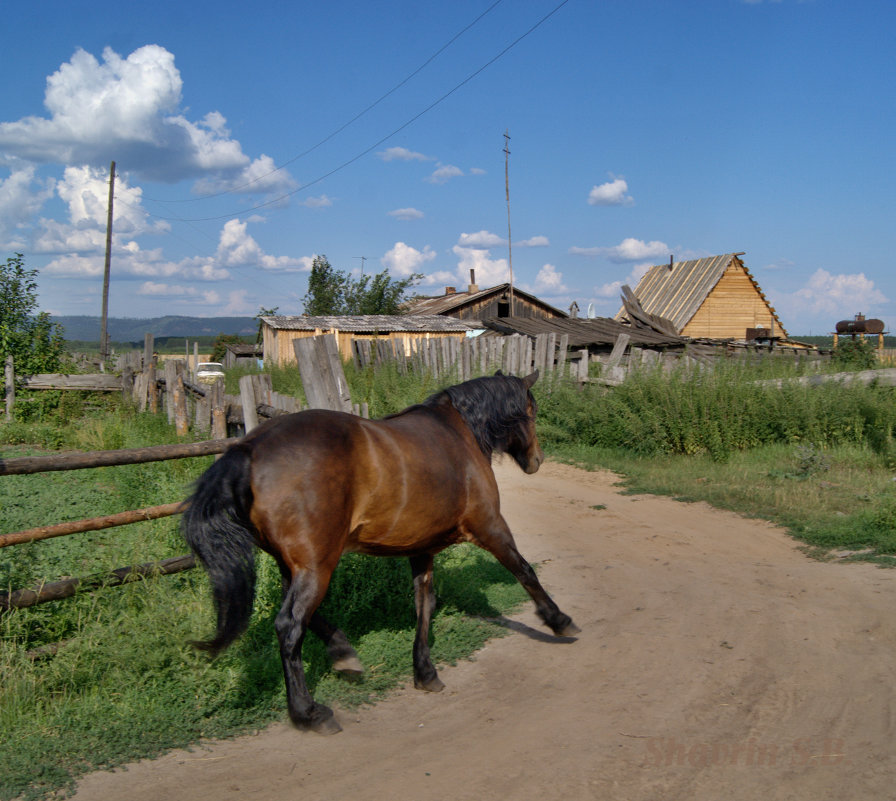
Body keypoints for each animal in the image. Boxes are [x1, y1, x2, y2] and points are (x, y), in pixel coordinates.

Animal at [180, 368, 580, 732]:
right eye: (531, 411)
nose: (538, 460)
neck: (459, 434)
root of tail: (249, 449)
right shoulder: (490, 526)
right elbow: (524, 570)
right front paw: (559, 620)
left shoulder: (422, 547)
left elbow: (424, 604)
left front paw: (424, 671)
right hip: (317, 565)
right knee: (290, 625)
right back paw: (308, 713)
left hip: (297, 564)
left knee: (303, 616)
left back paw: (344, 655)